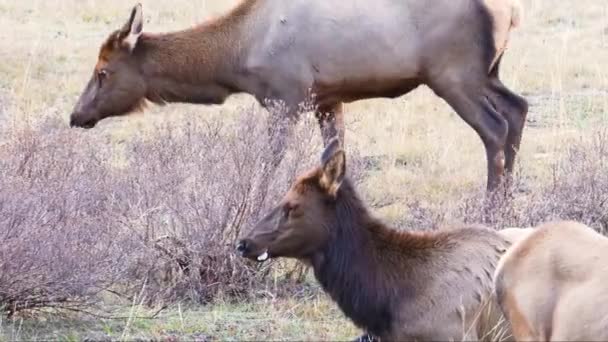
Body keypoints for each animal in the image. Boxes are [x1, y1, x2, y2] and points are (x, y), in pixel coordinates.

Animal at [69, 0, 528, 192]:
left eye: (102, 72)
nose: (76, 115)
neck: (239, 54)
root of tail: (511, 10)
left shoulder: (285, 97)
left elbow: (268, 161)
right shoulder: (327, 97)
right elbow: (335, 157)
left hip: (454, 74)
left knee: (495, 128)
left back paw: (490, 207)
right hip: (488, 72)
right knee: (518, 109)